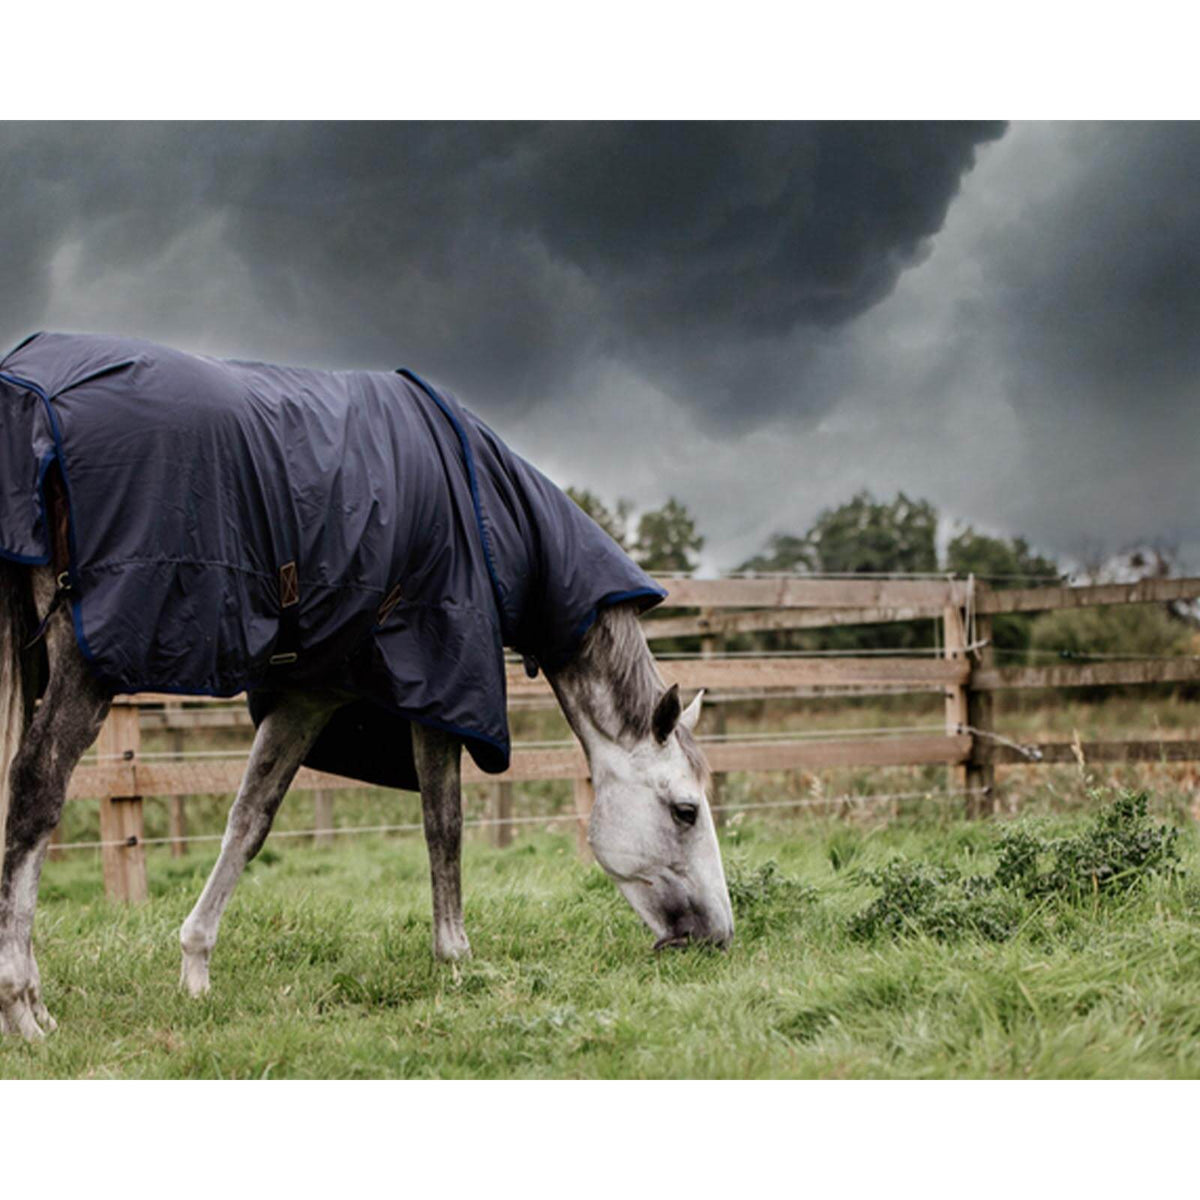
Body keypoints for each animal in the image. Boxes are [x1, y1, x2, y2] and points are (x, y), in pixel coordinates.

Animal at [0, 334, 733, 1041]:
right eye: (686, 811)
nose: (719, 939)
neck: (493, 518)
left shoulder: (309, 695)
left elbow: (249, 821)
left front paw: (196, 968)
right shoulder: (441, 693)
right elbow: (444, 824)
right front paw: (457, 962)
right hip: (86, 665)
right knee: (35, 792)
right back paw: (24, 1008)